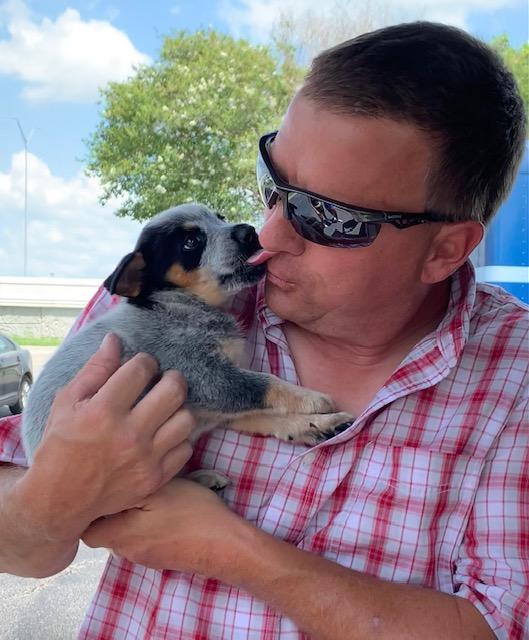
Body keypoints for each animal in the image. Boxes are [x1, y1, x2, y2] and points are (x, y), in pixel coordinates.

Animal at [21, 203, 352, 489]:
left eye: (219, 217)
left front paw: (318, 424)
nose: (248, 231)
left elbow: (272, 417)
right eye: (191, 242)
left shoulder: (218, 408)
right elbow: (266, 383)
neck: (184, 305)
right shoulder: (204, 377)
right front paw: (313, 399)